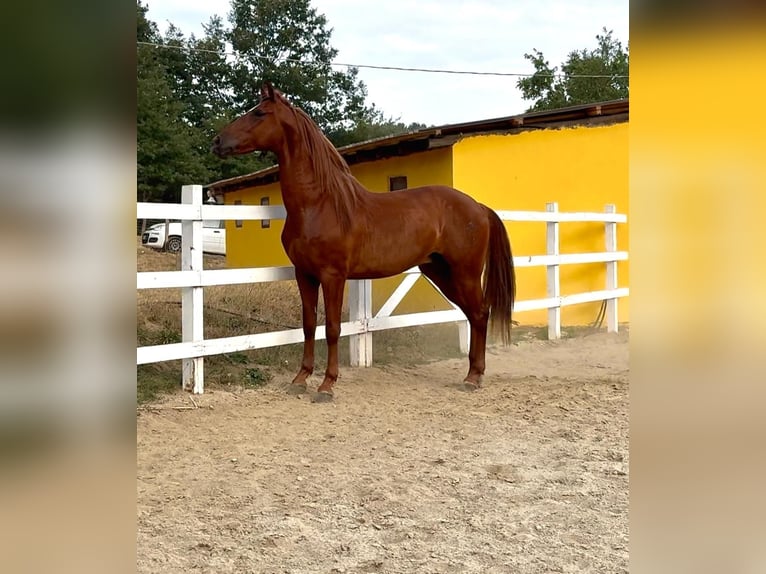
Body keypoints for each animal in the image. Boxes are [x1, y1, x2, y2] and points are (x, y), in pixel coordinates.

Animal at [212, 82, 516, 402]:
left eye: (259, 113)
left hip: (465, 273)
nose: (217, 142)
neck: (320, 204)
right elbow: (309, 325)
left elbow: (332, 328)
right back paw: (472, 373)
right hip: (440, 272)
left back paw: (474, 377)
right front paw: (300, 378)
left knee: (480, 314)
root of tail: (478, 206)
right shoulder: (304, 274)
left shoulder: (333, 276)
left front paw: (327, 385)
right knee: (473, 315)